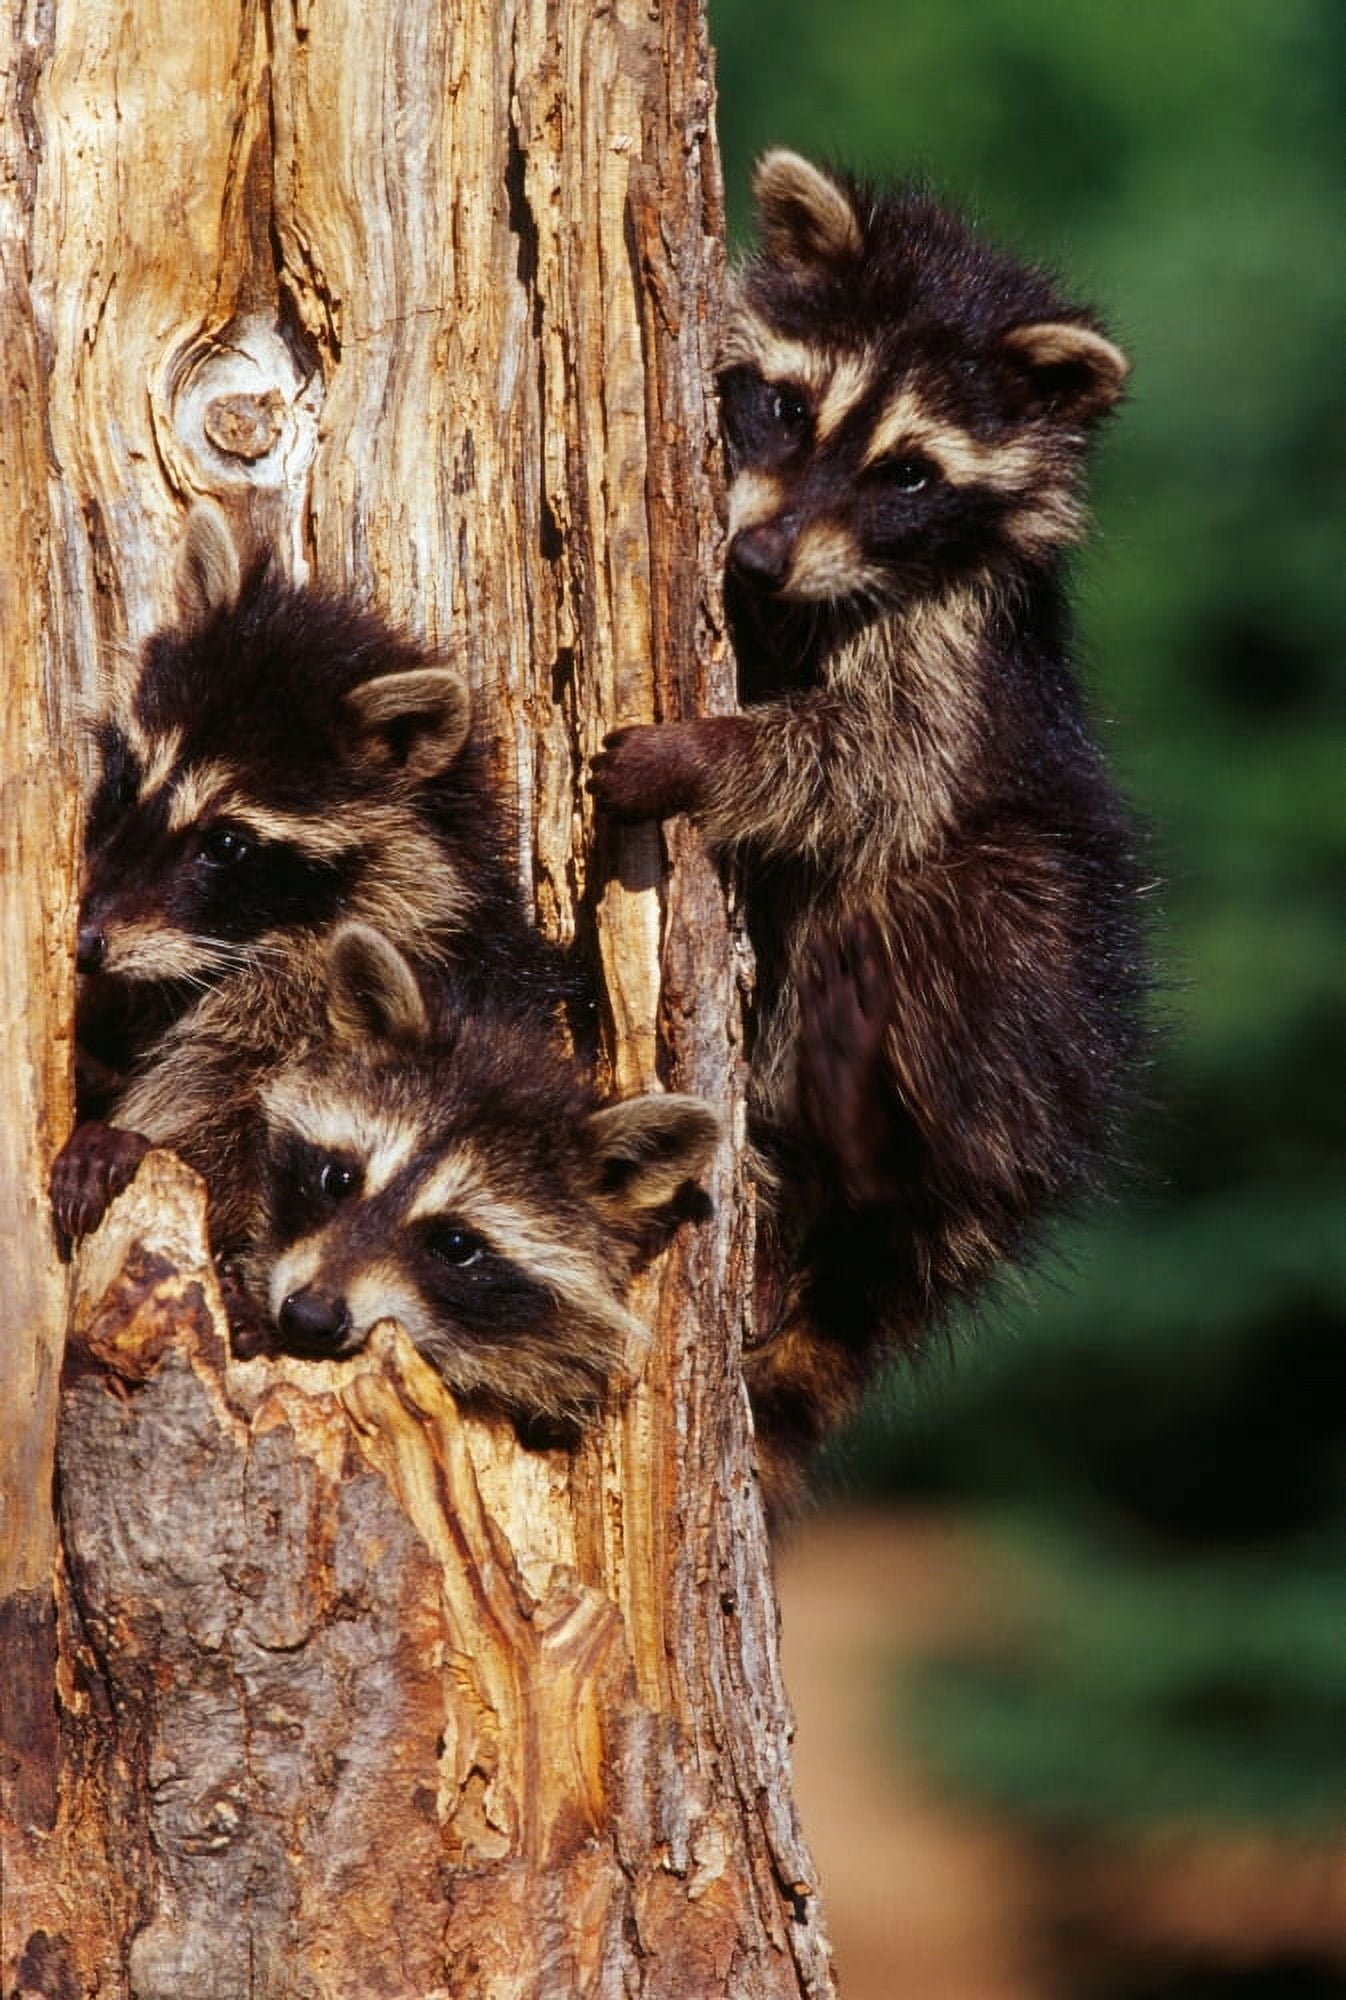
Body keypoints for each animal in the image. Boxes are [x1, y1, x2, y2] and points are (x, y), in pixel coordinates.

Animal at [590, 153, 1150, 1507]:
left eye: (907, 472)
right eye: (785, 407)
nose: (756, 556)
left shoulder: (952, 644)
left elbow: (876, 769)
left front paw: (702, 756)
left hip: (1019, 1005)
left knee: (941, 909)